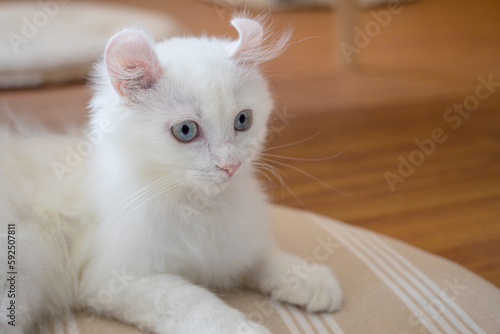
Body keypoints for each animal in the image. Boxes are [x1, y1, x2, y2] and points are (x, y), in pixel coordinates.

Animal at [0, 16, 342, 334]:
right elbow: (199, 305)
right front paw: (244, 327)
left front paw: (312, 279)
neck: (201, 209)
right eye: (186, 130)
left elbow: (266, 258)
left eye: (243, 120)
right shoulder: (116, 280)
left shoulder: (240, 244)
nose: (230, 165)